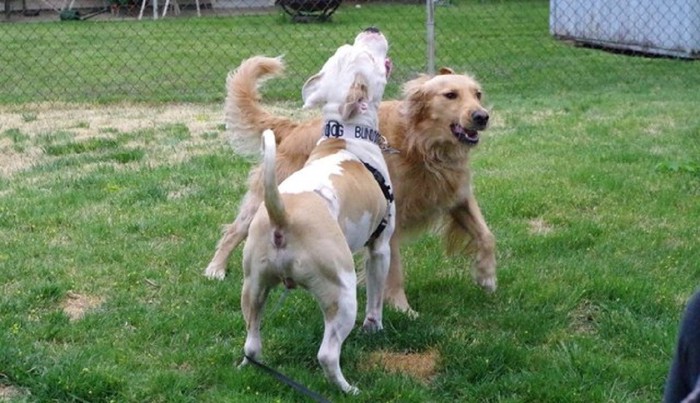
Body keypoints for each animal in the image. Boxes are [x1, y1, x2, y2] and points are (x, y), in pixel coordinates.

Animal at [239, 27, 394, 394]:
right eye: (366, 57)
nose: (371, 29)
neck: (346, 135)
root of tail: (282, 216)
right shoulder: (380, 248)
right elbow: (376, 298)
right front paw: (376, 327)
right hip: (343, 290)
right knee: (327, 354)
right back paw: (349, 390)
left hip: (253, 286)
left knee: (251, 342)